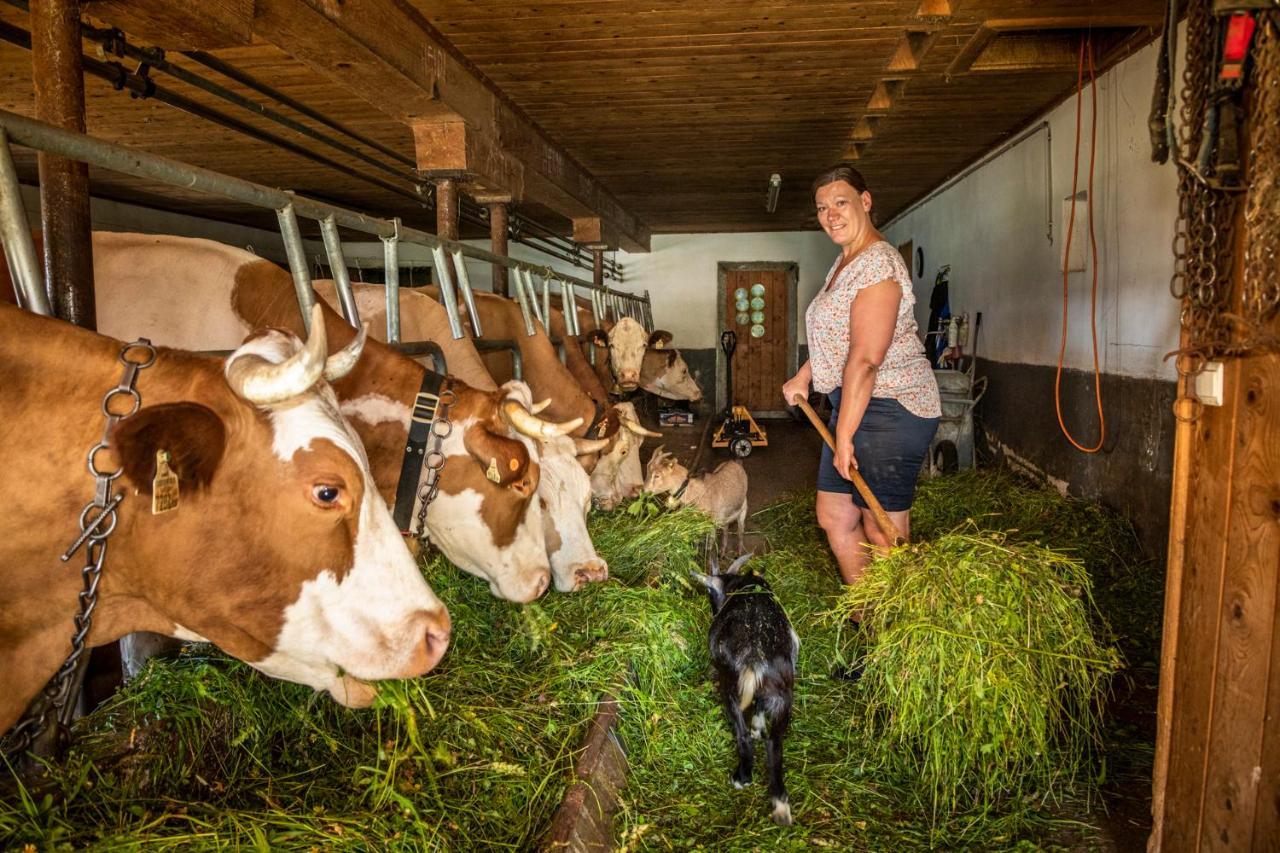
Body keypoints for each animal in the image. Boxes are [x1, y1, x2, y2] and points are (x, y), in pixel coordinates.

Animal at [696, 548, 793, 819]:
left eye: (710, 592)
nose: (715, 609)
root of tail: (754, 660)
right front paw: (758, 726)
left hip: (730, 689)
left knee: (742, 736)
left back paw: (741, 778)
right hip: (783, 695)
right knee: (775, 743)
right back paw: (781, 804)